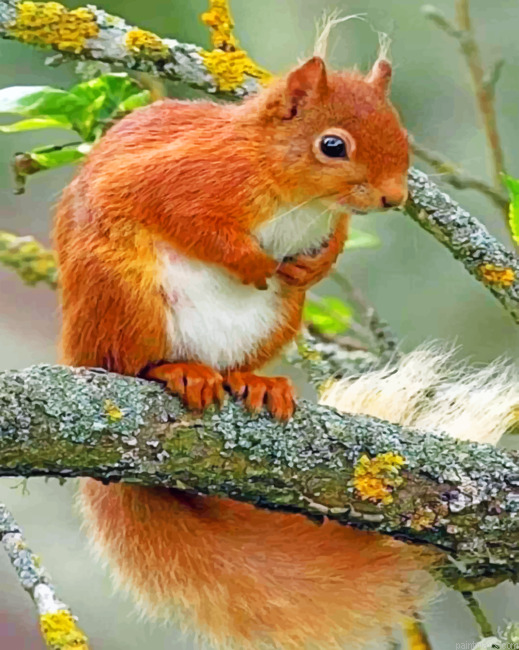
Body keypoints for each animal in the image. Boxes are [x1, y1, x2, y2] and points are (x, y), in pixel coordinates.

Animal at [52, 51, 515, 648]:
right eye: (333, 145)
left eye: (400, 130)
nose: (394, 197)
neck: (299, 196)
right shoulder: (177, 178)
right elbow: (190, 221)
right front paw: (252, 262)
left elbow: (333, 240)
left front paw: (316, 263)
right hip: (122, 295)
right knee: (126, 364)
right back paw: (177, 371)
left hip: (277, 319)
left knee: (236, 364)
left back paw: (255, 382)